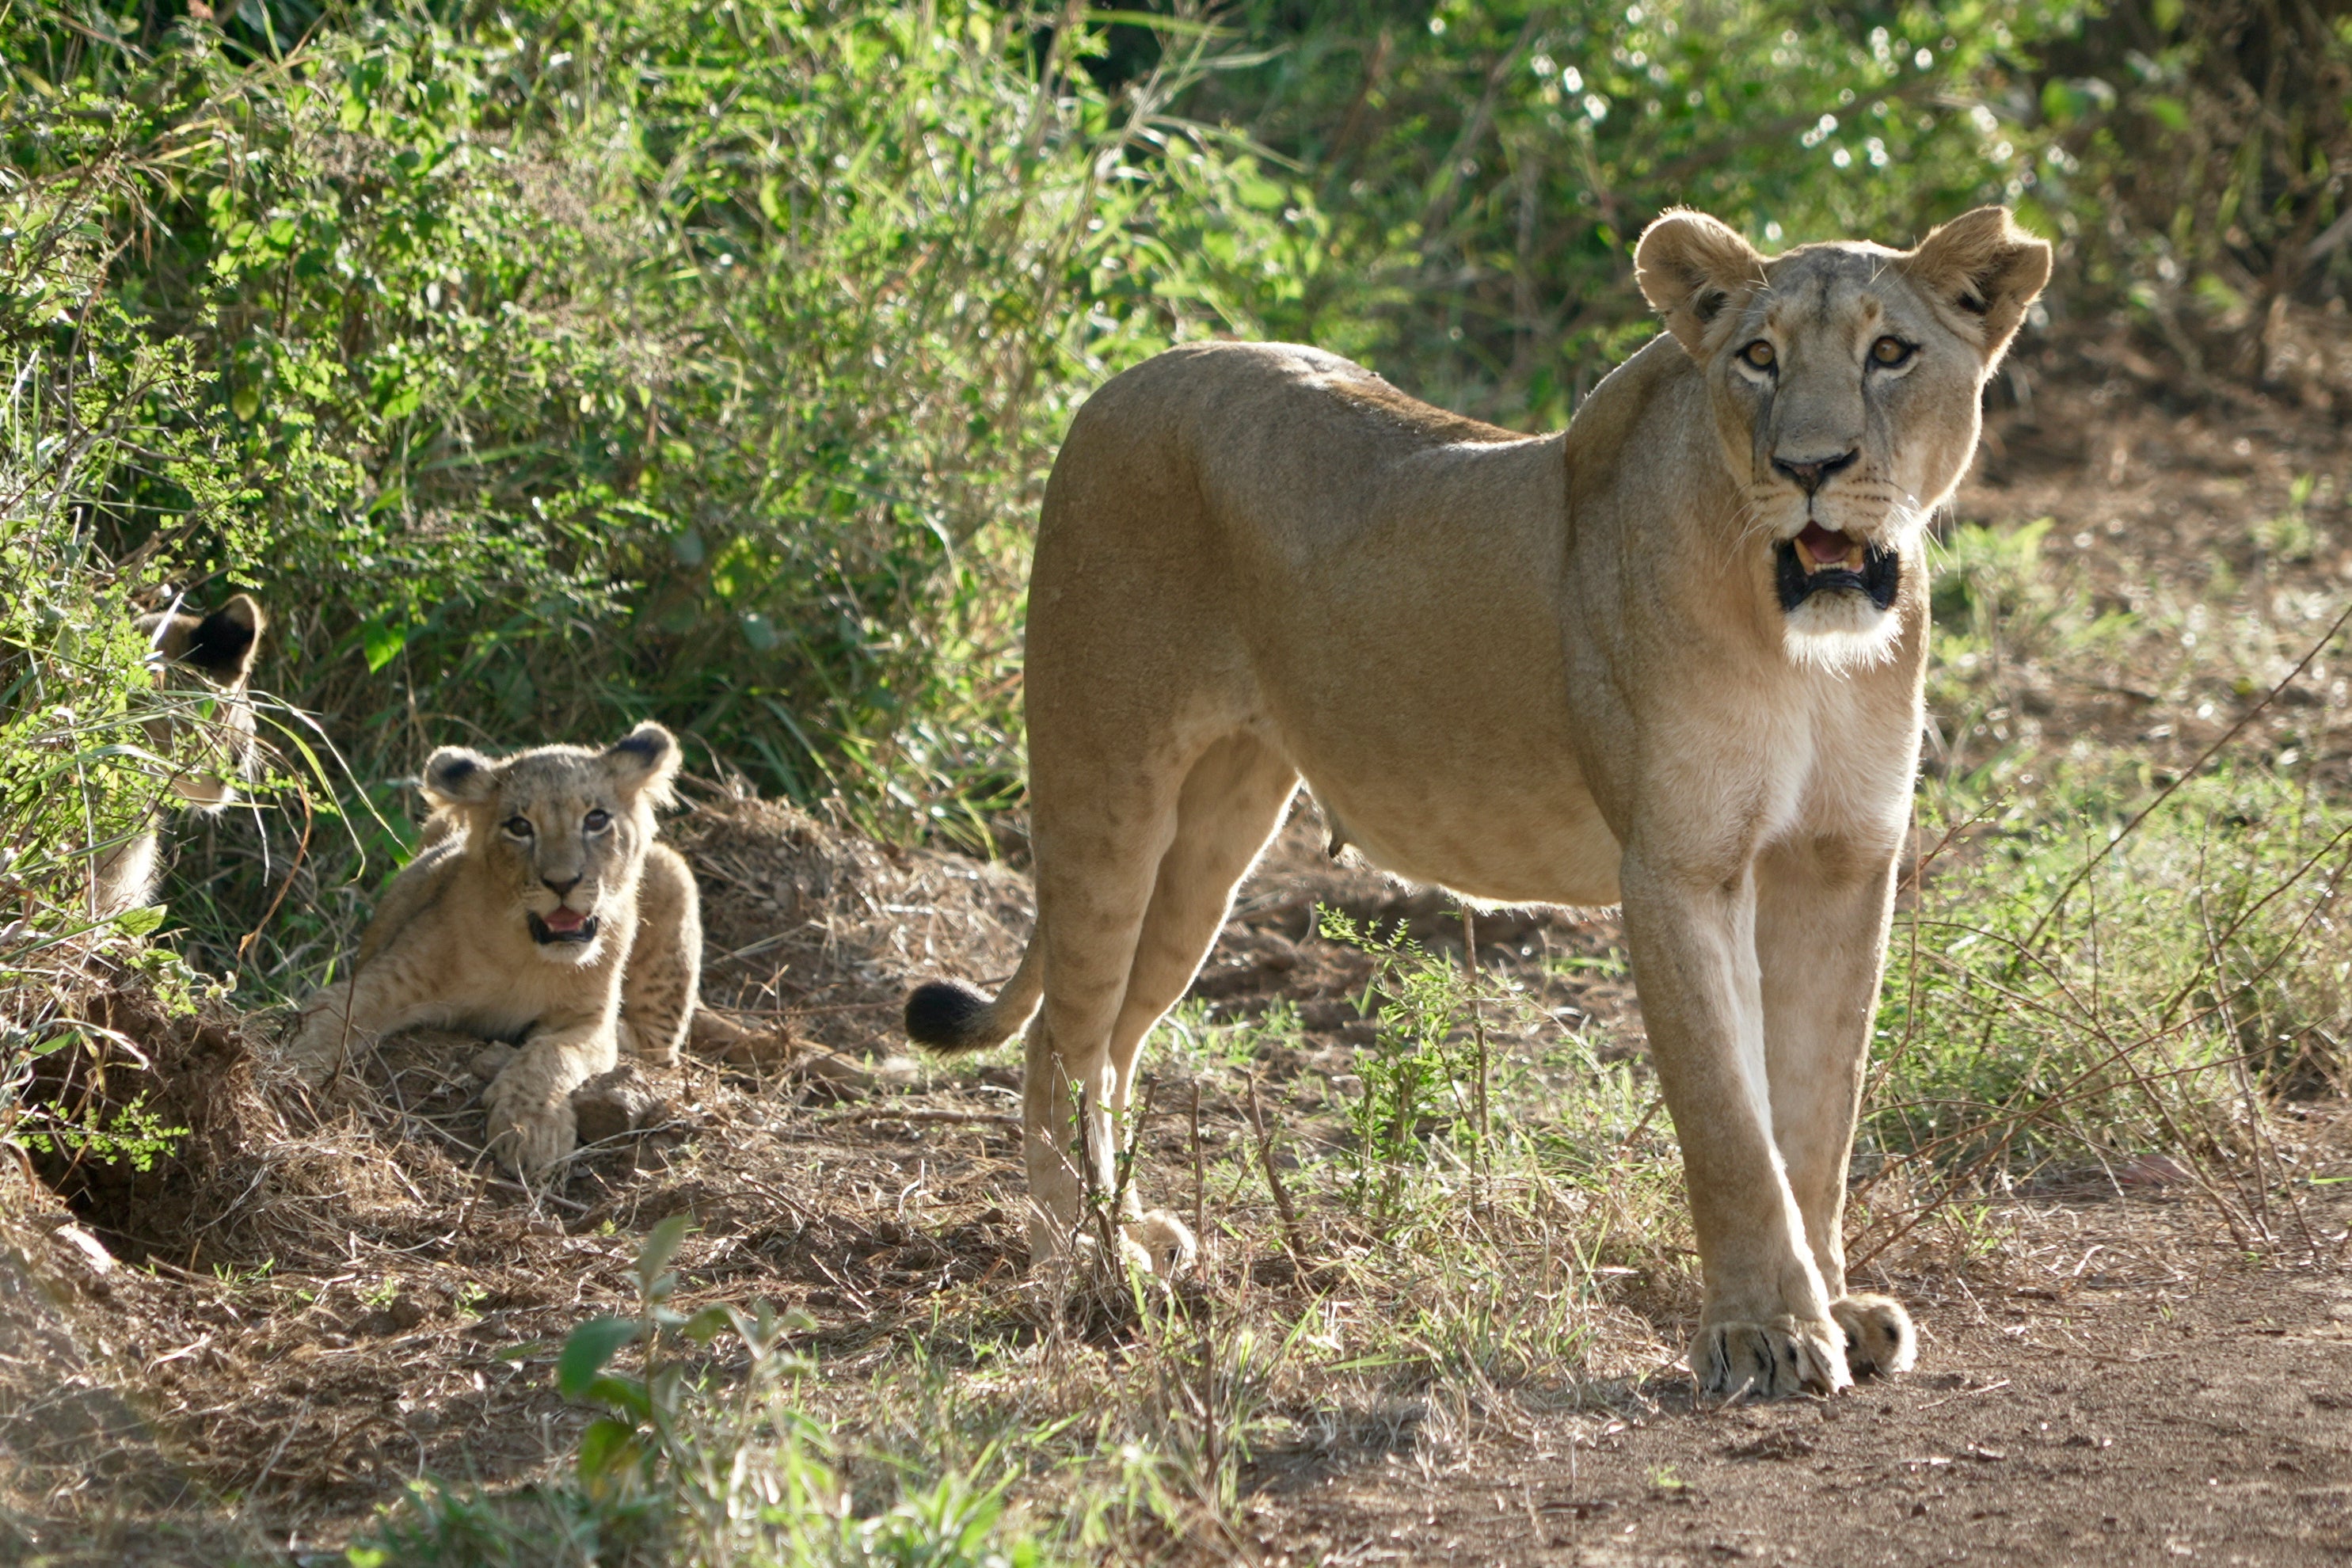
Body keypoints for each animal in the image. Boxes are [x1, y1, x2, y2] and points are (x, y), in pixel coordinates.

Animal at [284, 722, 702, 1175]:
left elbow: (551, 1054)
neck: (527, 956)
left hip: (672, 870)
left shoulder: (588, 1019)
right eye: (519, 827)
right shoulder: (390, 978)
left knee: (659, 1045)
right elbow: (333, 1014)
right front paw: (289, 1070)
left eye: (596, 820)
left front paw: (531, 1129)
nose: (562, 882)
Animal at [905, 206, 2050, 1399]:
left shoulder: (1841, 861)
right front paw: (1763, 1332)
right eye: (1757, 357)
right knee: (1059, 1038)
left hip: (1212, 835)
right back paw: (1088, 1265)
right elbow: (1732, 1124)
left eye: (1891, 353)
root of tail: (1119, 382)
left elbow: (1819, 1117)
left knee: (1116, 1038)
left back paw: (1131, 1232)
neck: (1805, 648)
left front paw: (1836, 1305)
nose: (1810, 465)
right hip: (1105, 780)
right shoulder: (1679, 866)